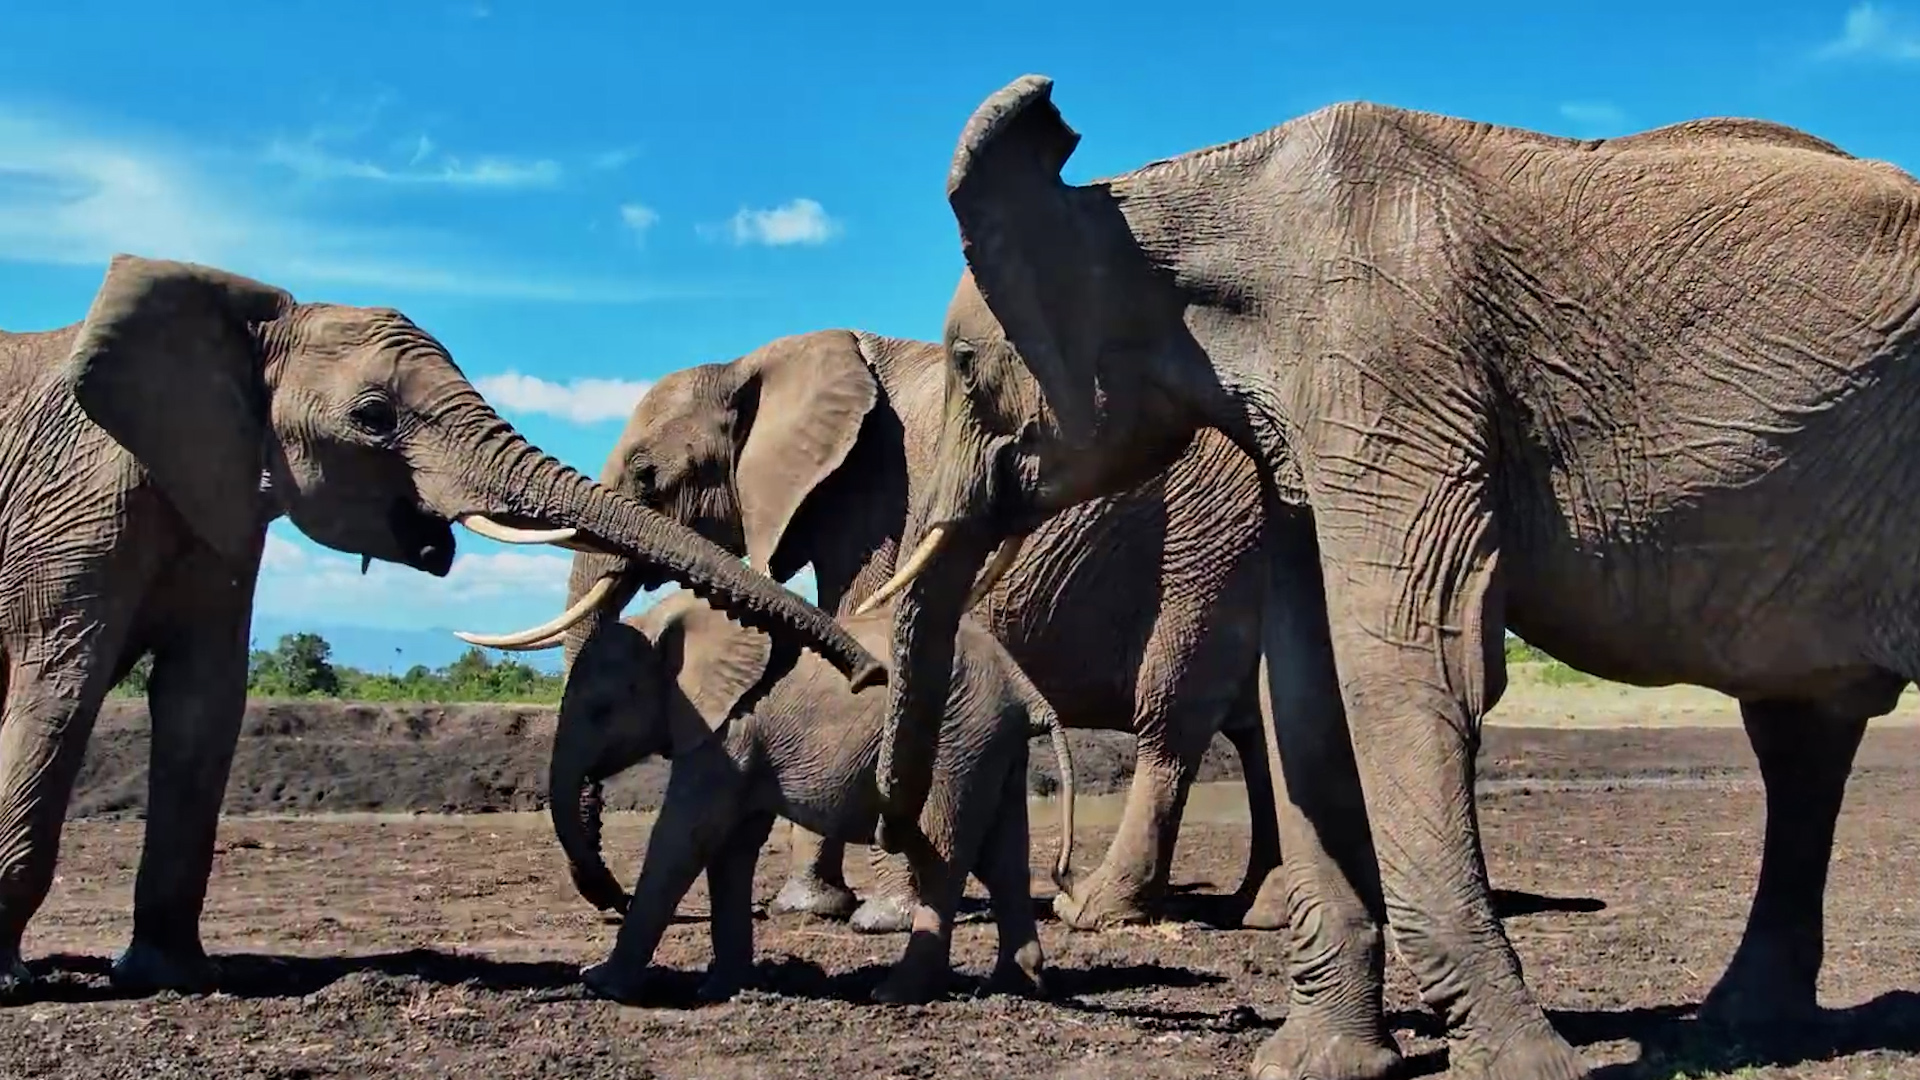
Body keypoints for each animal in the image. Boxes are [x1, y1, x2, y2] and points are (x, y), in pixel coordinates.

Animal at [0, 254, 882, 998]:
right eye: (373, 418)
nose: (869, 672)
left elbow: (201, 708)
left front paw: (172, 977)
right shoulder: (72, 507)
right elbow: (62, 691)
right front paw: (18, 985)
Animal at [460, 326, 1281, 933]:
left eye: (644, 476)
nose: (614, 898)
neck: (758, 362)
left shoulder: (882, 495)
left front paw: (873, 917)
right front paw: (811, 909)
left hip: (1212, 541)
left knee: (1171, 720)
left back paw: (1096, 911)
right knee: (1266, 727)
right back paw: (1257, 911)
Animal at [549, 591, 1077, 1006]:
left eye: (601, 710)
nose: (610, 893)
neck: (665, 620)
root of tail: (1023, 686)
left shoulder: (729, 732)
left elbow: (686, 835)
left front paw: (601, 984)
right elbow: (733, 845)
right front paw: (724, 989)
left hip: (956, 741)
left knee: (943, 857)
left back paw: (894, 993)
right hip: (992, 745)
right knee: (1003, 857)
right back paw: (1015, 984)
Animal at [868, 76, 1920, 1080]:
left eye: (965, 370)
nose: (898, 863)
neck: (1168, 198)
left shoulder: (1391, 367)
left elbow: (1403, 666)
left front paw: (1528, 1069)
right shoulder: (1307, 432)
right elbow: (1305, 688)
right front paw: (1315, 1066)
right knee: (1799, 738)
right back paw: (1741, 1025)